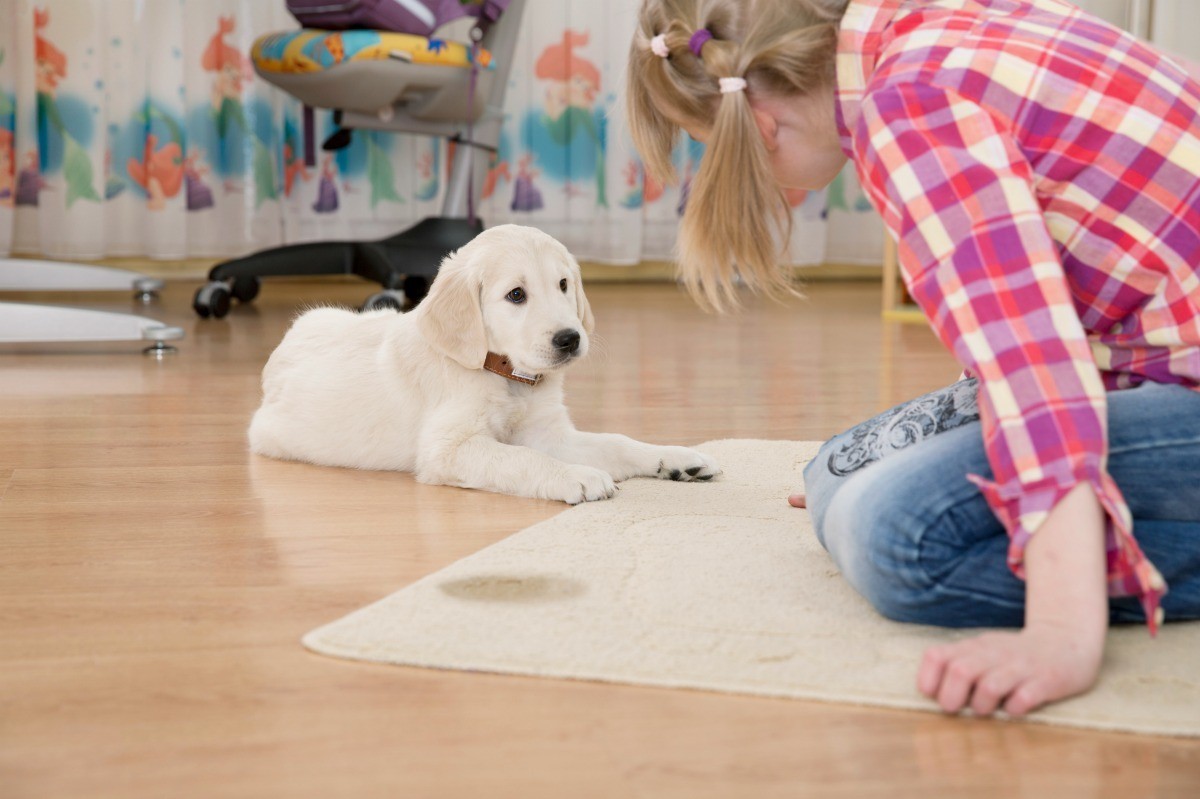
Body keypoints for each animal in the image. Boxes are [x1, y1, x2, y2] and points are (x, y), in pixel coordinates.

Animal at [248, 220, 720, 501]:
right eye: (516, 295)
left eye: (564, 284)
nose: (570, 339)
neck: (508, 376)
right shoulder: (449, 449)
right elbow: (522, 458)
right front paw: (577, 476)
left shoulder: (549, 433)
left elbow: (616, 442)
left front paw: (674, 458)